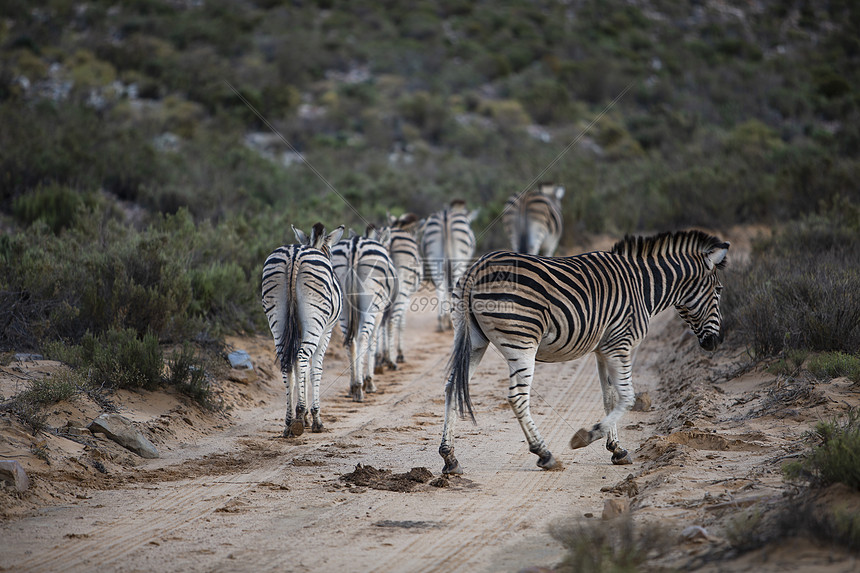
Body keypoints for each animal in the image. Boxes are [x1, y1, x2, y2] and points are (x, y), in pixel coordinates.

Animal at [260, 221, 344, 436]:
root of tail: (294, 255)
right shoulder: (326, 332)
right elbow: (315, 370)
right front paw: (314, 418)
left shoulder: (297, 330)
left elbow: (301, 371)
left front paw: (303, 416)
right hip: (316, 320)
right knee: (302, 357)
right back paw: (299, 417)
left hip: (277, 317)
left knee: (287, 361)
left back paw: (290, 422)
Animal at [330, 226, 398, 400]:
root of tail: (355, 245)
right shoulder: (379, 312)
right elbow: (373, 341)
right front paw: (370, 381)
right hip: (371, 305)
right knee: (362, 338)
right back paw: (360, 387)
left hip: (344, 308)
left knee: (350, 342)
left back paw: (354, 387)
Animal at [422, 199, 480, 330]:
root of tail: (445, 217)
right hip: (458, 259)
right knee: (454, 284)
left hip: (434, 258)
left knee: (440, 286)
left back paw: (441, 322)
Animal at [440, 228, 728, 474]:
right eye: (719, 290)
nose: (715, 343)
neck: (642, 285)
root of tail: (477, 268)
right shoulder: (620, 343)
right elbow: (627, 397)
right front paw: (587, 436)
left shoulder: (603, 349)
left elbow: (610, 397)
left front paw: (617, 449)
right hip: (522, 342)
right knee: (517, 398)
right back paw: (544, 454)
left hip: (474, 341)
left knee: (452, 387)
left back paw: (450, 458)